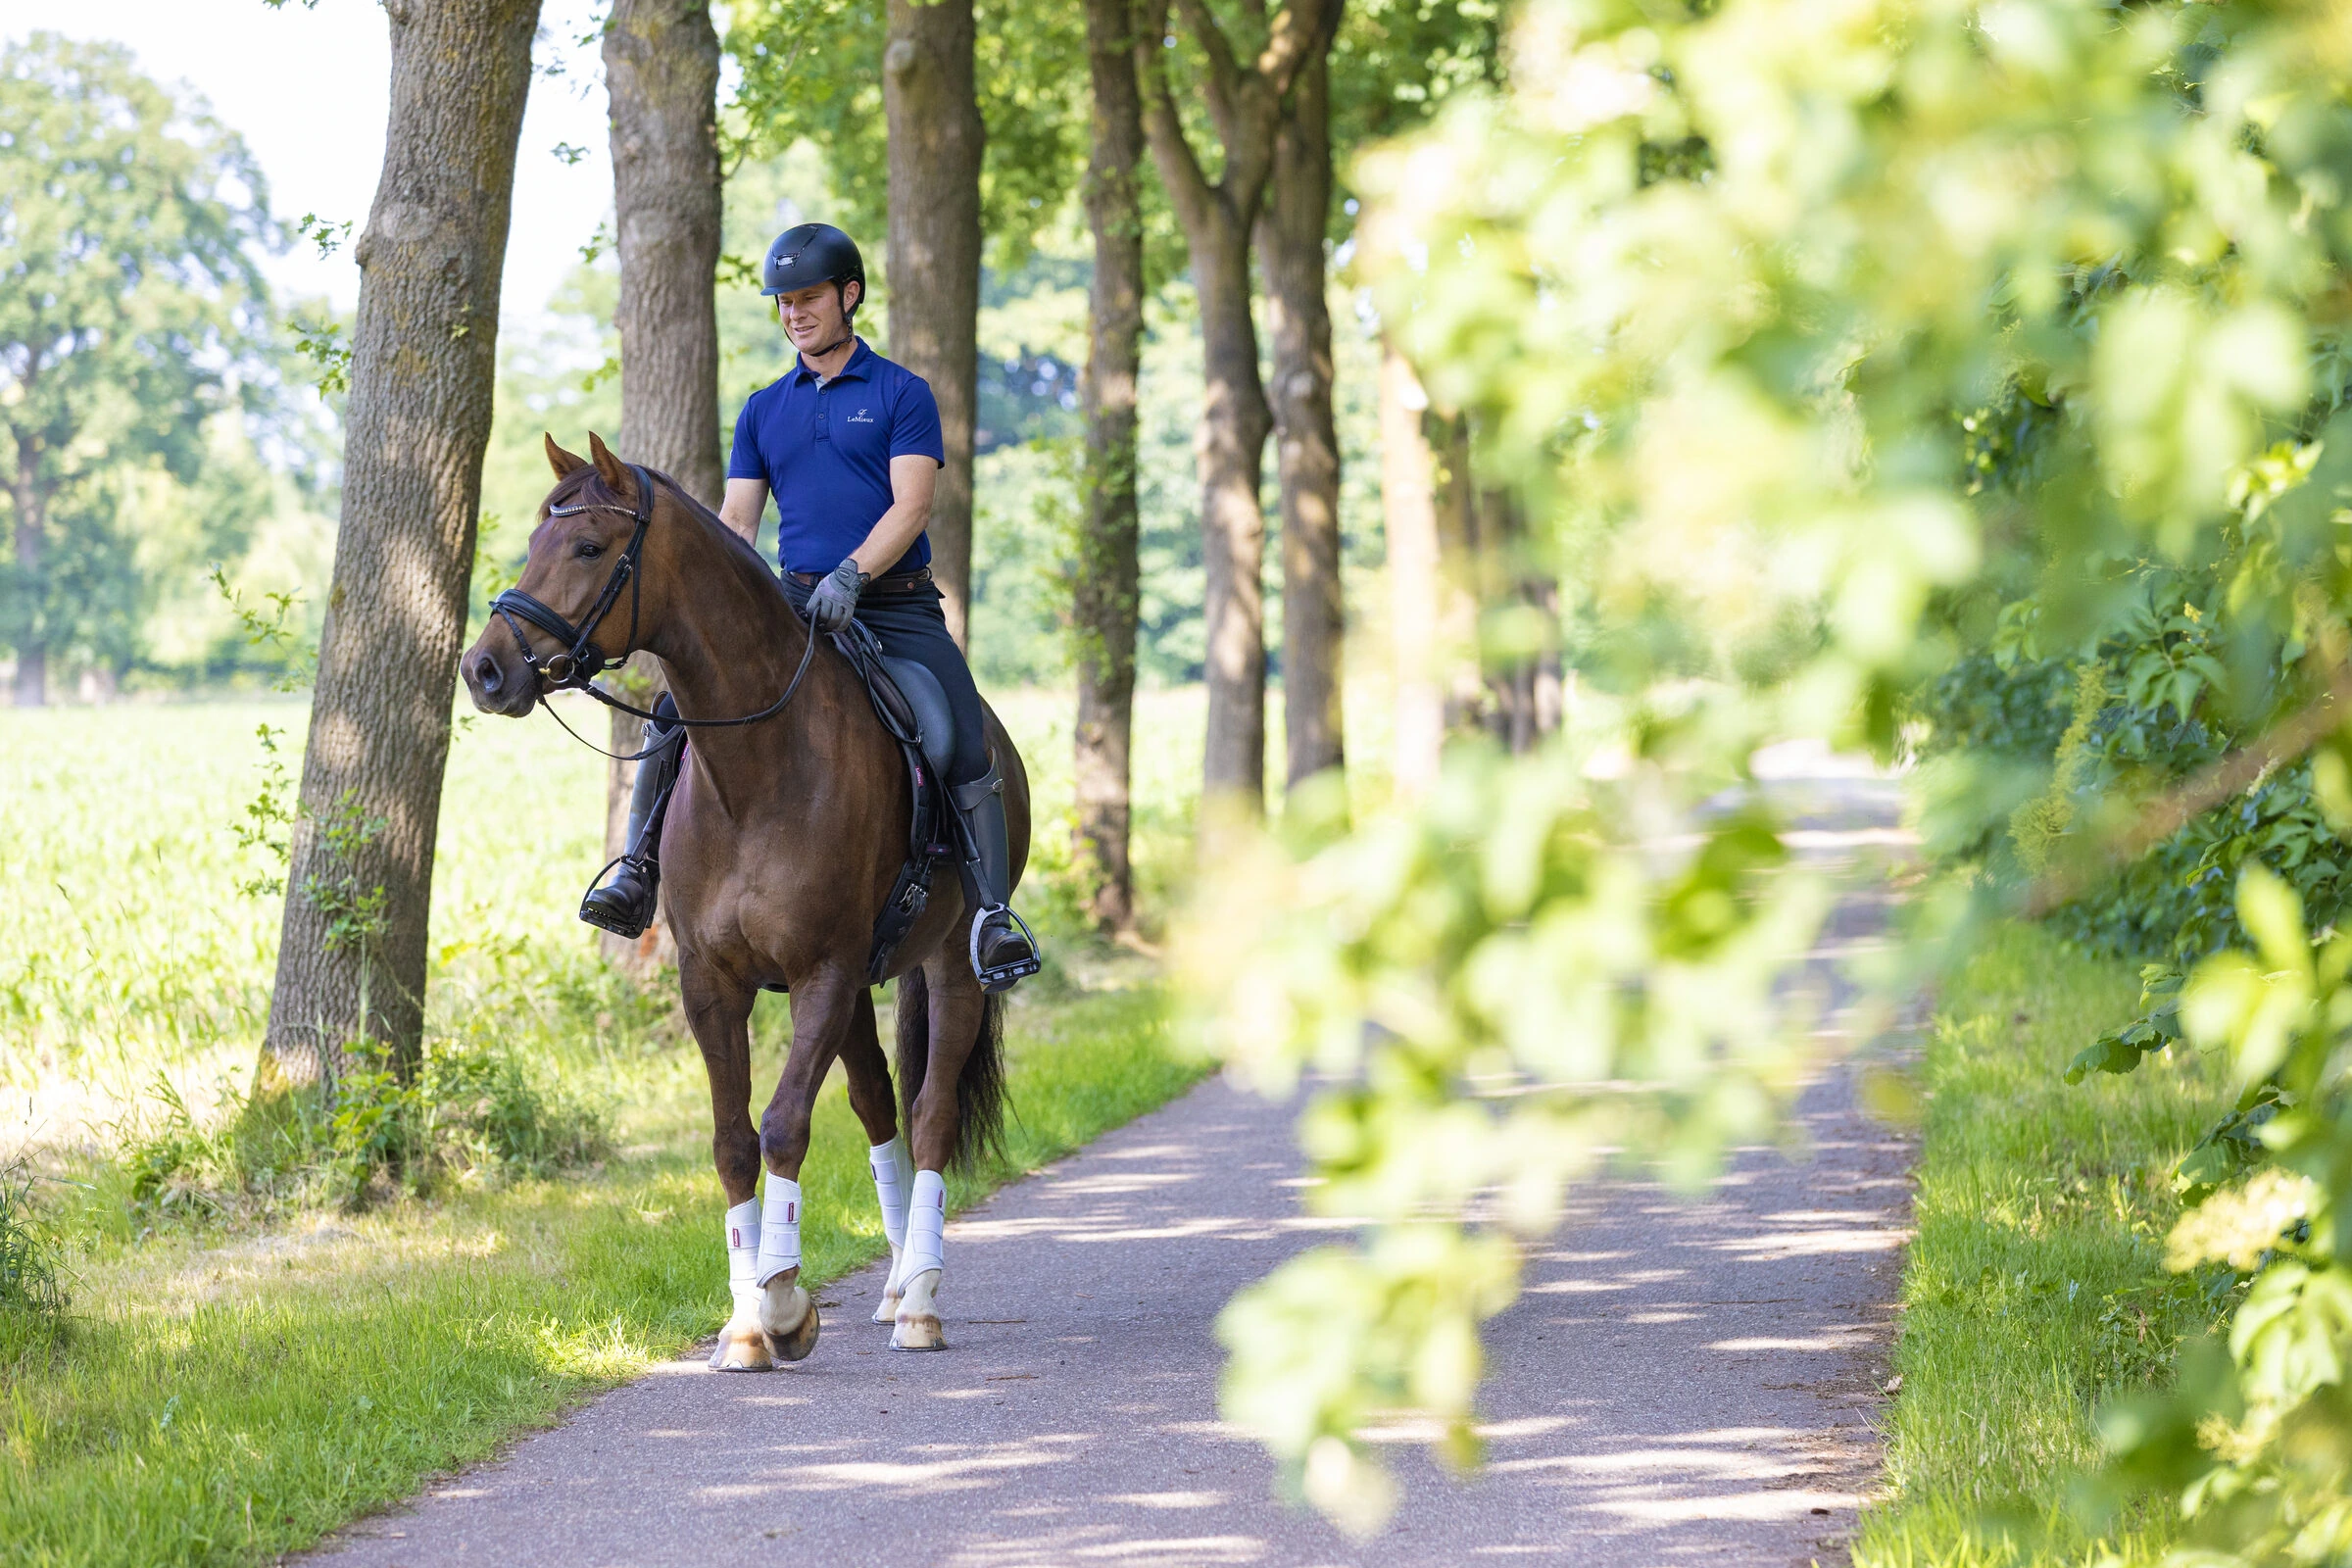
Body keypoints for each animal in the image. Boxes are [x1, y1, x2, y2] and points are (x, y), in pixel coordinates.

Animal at [460, 432, 1029, 1368]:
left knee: (933, 1114)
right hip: (863, 989)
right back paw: (893, 1285)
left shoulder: (821, 973)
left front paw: (786, 1301)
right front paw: (744, 1322)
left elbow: (785, 1124)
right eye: (536, 542)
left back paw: (920, 1301)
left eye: (588, 548)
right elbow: (733, 1141)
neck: (759, 766)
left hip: (950, 969)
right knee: (879, 1108)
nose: (485, 670)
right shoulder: (713, 979)